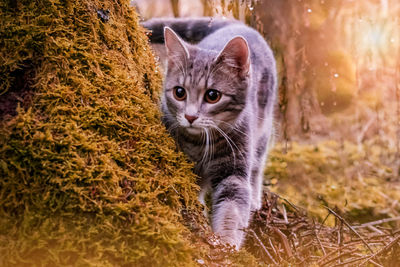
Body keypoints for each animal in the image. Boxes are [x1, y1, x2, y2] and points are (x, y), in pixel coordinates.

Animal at [144, 17, 278, 250]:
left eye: (213, 95)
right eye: (179, 92)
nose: (190, 116)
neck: (200, 144)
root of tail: (237, 25)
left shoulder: (234, 171)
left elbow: (232, 209)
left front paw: (227, 244)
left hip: (263, 127)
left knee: (257, 165)